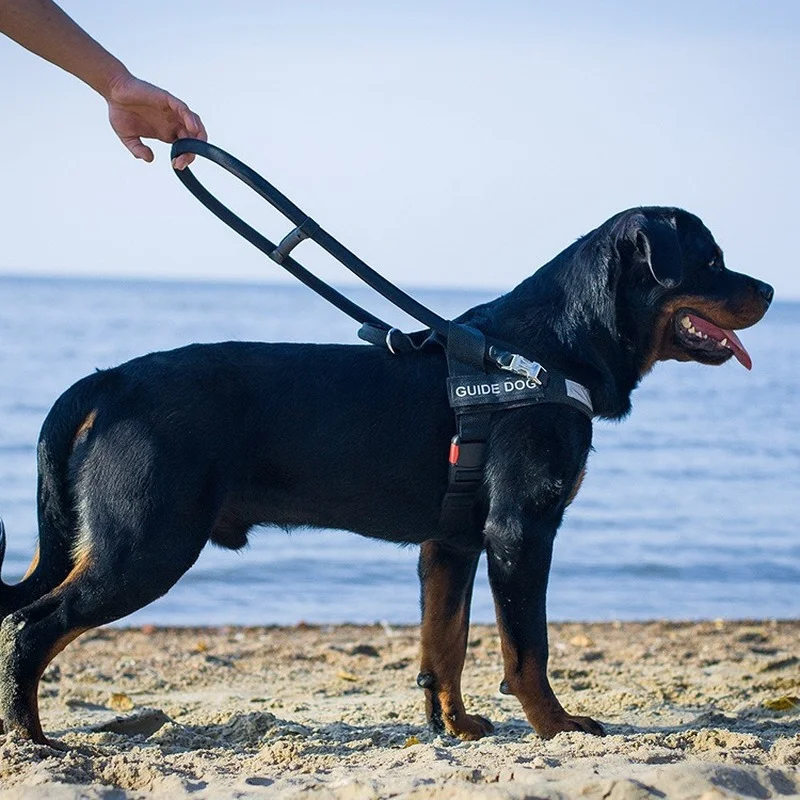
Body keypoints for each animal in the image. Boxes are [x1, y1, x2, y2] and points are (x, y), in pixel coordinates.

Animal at [0, 206, 776, 744]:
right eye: (710, 261)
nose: (770, 288)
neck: (545, 352)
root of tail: (108, 381)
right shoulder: (521, 531)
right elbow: (529, 648)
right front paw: (557, 728)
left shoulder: (453, 543)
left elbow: (446, 643)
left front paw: (455, 726)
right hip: (145, 546)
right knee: (33, 628)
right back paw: (35, 740)